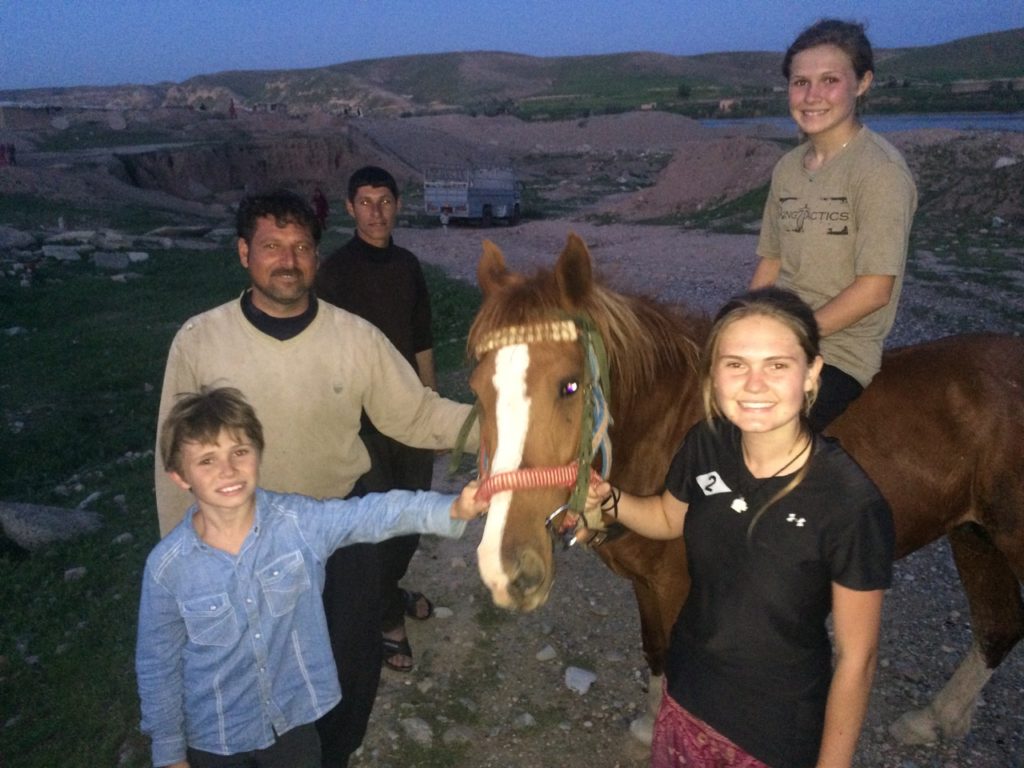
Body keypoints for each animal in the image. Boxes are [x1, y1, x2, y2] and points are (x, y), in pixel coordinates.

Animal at [468, 233, 1024, 745]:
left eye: (570, 386)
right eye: (477, 389)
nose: (507, 569)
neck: (663, 433)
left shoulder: (679, 588)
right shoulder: (646, 585)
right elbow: (655, 650)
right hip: (973, 536)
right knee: (998, 627)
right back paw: (935, 718)